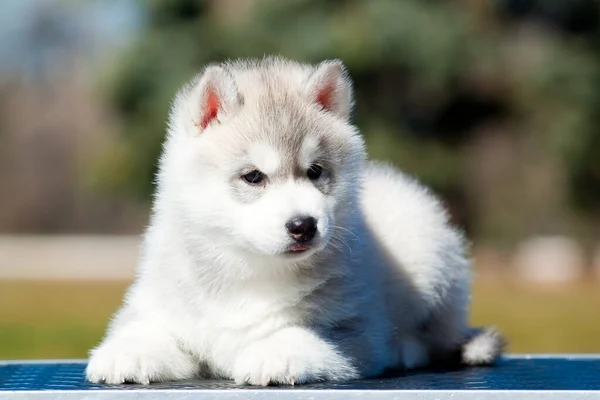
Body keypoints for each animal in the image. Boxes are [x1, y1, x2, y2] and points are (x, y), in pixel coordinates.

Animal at [85, 55, 506, 384]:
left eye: (315, 171)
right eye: (253, 176)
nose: (304, 225)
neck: (248, 268)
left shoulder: (352, 327)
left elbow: (302, 334)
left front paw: (274, 354)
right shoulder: (161, 305)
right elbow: (144, 328)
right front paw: (128, 352)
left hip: (427, 251)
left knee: (436, 337)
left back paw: (407, 346)